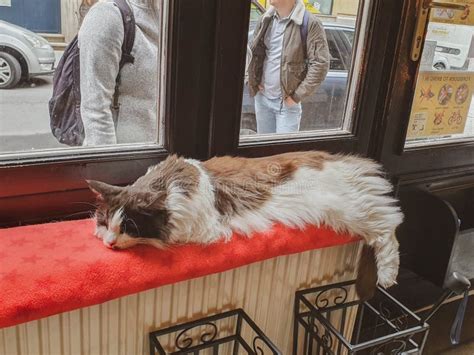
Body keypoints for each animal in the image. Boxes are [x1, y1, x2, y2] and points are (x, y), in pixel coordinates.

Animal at [88, 152, 404, 296]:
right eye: (107, 221)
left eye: (128, 228)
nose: (109, 244)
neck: (169, 185)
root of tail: (342, 160)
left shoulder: (202, 226)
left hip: (354, 210)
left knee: (390, 229)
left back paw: (388, 277)